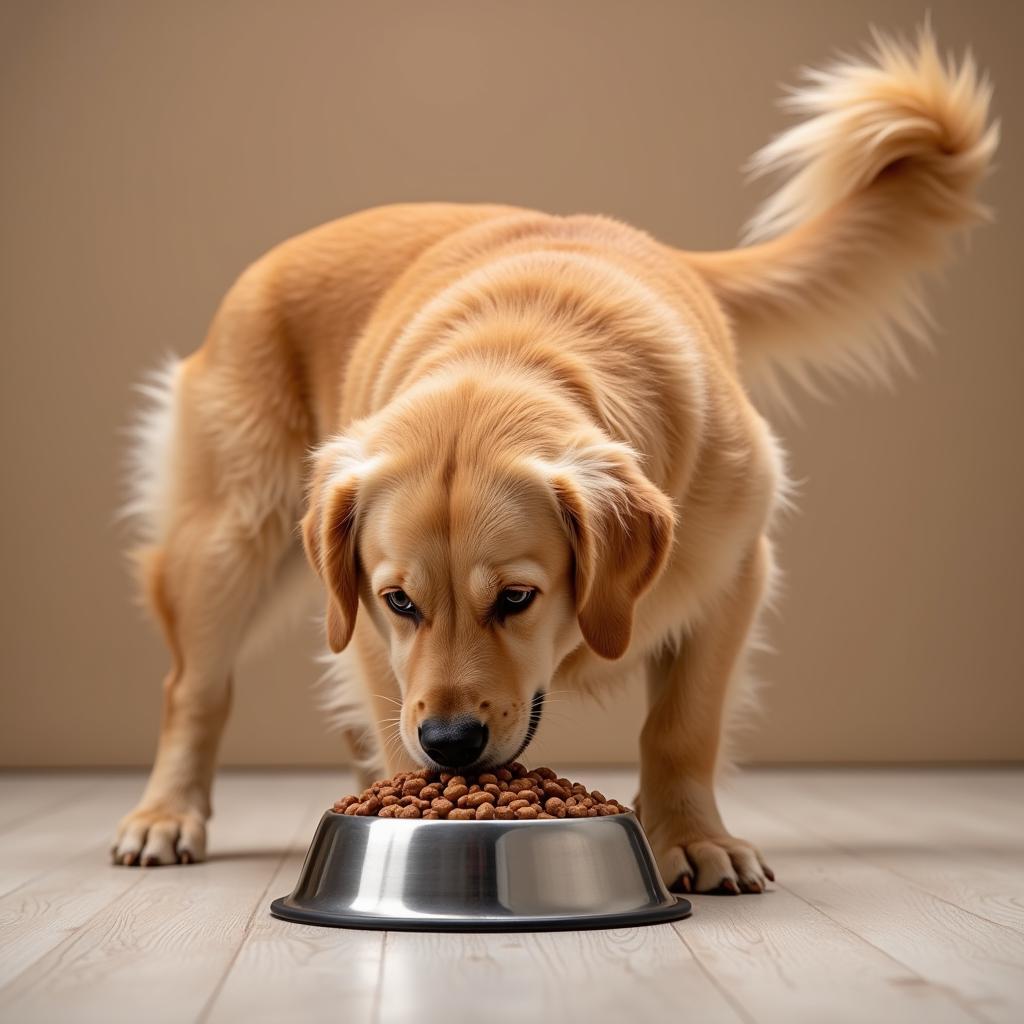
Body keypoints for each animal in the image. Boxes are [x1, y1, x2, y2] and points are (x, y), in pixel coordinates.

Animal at [114, 29, 999, 897]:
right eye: (399, 601)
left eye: (516, 598)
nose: (451, 741)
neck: (517, 348)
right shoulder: (364, 625)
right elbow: (384, 706)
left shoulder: (733, 576)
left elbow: (683, 724)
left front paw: (694, 838)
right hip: (229, 540)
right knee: (191, 689)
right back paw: (165, 815)